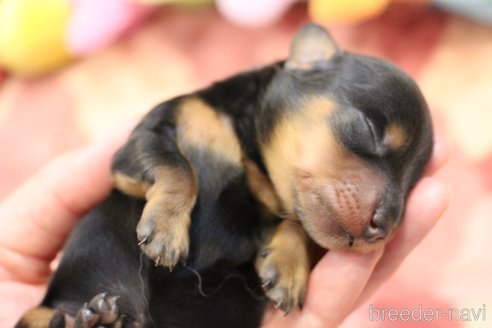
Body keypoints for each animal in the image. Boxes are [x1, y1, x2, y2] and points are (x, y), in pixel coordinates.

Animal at [17, 23, 432, 328]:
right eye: (368, 129)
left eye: (410, 187)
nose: (385, 226)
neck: (252, 159)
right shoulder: (146, 140)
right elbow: (180, 169)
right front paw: (166, 231)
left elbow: (298, 223)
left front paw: (288, 268)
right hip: (46, 310)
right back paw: (89, 320)